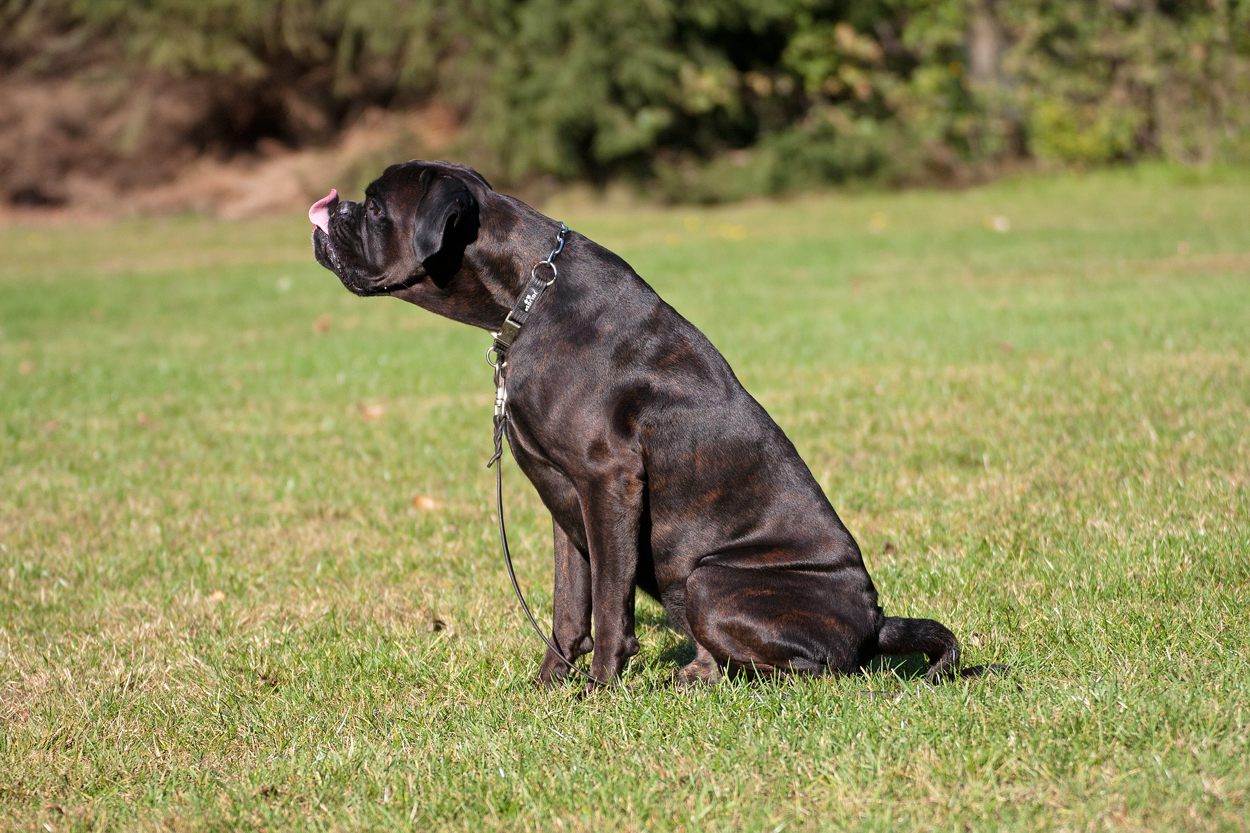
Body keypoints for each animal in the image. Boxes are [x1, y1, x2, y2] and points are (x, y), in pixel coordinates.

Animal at [307, 158, 960, 685]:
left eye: (376, 206)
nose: (331, 207)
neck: (528, 292)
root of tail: (876, 621)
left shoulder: (607, 481)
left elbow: (608, 605)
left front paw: (598, 691)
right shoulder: (565, 499)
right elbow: (569, 605)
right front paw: (549, 688)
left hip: (709, 580)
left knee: (814, 669)